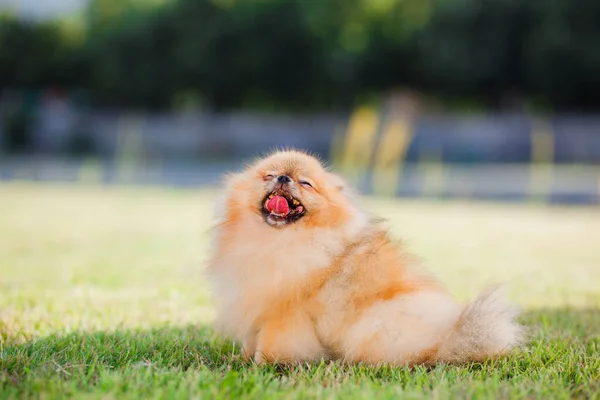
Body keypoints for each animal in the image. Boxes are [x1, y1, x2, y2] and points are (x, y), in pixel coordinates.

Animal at [207, 149, 524, 366]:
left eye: (306, 183)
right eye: (269, 176)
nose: (284, 178)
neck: (274, 240)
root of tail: (448, 336)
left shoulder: (285, 314)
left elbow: (272, 343)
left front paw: (262, 364)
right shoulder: (256, 301)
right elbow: (251, 339)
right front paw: (241, 359)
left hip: (374, 323)